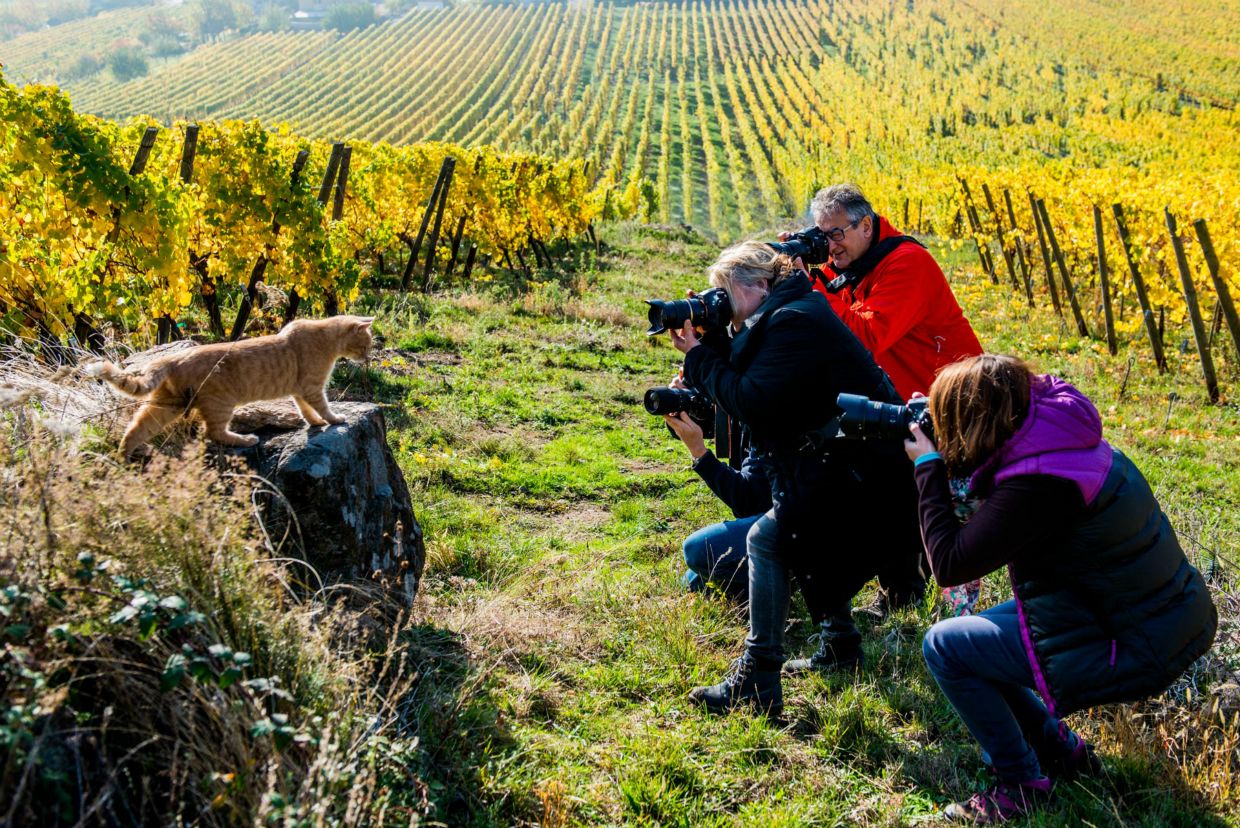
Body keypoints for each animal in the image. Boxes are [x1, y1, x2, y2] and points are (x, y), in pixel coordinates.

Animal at [88, 317, 372, 458]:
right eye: (366, 344)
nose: (368, 357)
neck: (325, 338)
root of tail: (171, 359)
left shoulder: (299, 390)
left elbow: (305, 410)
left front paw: (314, 422)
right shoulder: (312, 387)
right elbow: (323, 406)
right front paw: (334, 419)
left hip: (167, 406)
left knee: (136, 429)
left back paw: (124, 457)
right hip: (220, 404)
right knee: (212, 432)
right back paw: (246, 439)